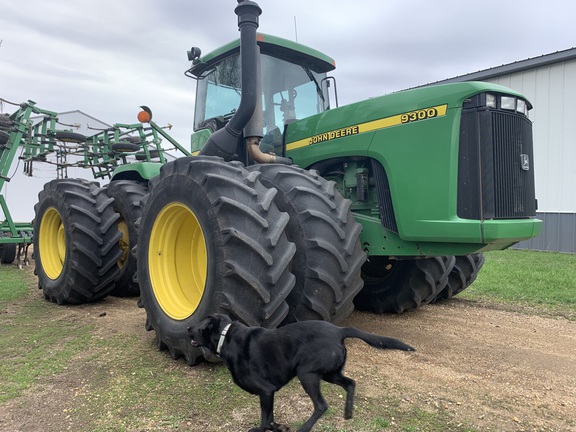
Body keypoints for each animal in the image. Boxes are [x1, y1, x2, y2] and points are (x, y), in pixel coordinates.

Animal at [188, 314, 414, 432]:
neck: (225, 337)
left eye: (199, 324)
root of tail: (339, 330)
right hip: (329, 374)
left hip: (307, 373)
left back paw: (304, 428)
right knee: (351, 383)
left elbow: (264, 420)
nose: (188, 328)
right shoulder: (269, 394)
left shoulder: (266, 390)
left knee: (321, 405)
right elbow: (270, 418)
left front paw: (264, 429)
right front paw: (279, 427)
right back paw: (348, 412)